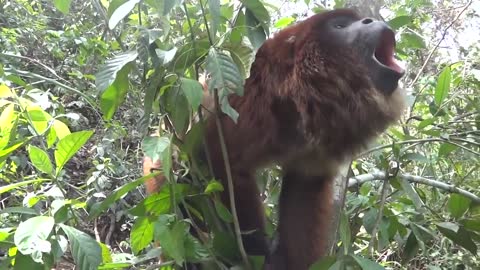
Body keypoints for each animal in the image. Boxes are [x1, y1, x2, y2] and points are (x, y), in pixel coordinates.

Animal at [143, 8, 404, 270]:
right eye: (340, 26)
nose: (371, 20)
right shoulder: (247, 98)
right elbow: (221, 161)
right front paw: (256, 254)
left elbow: (304, 187)